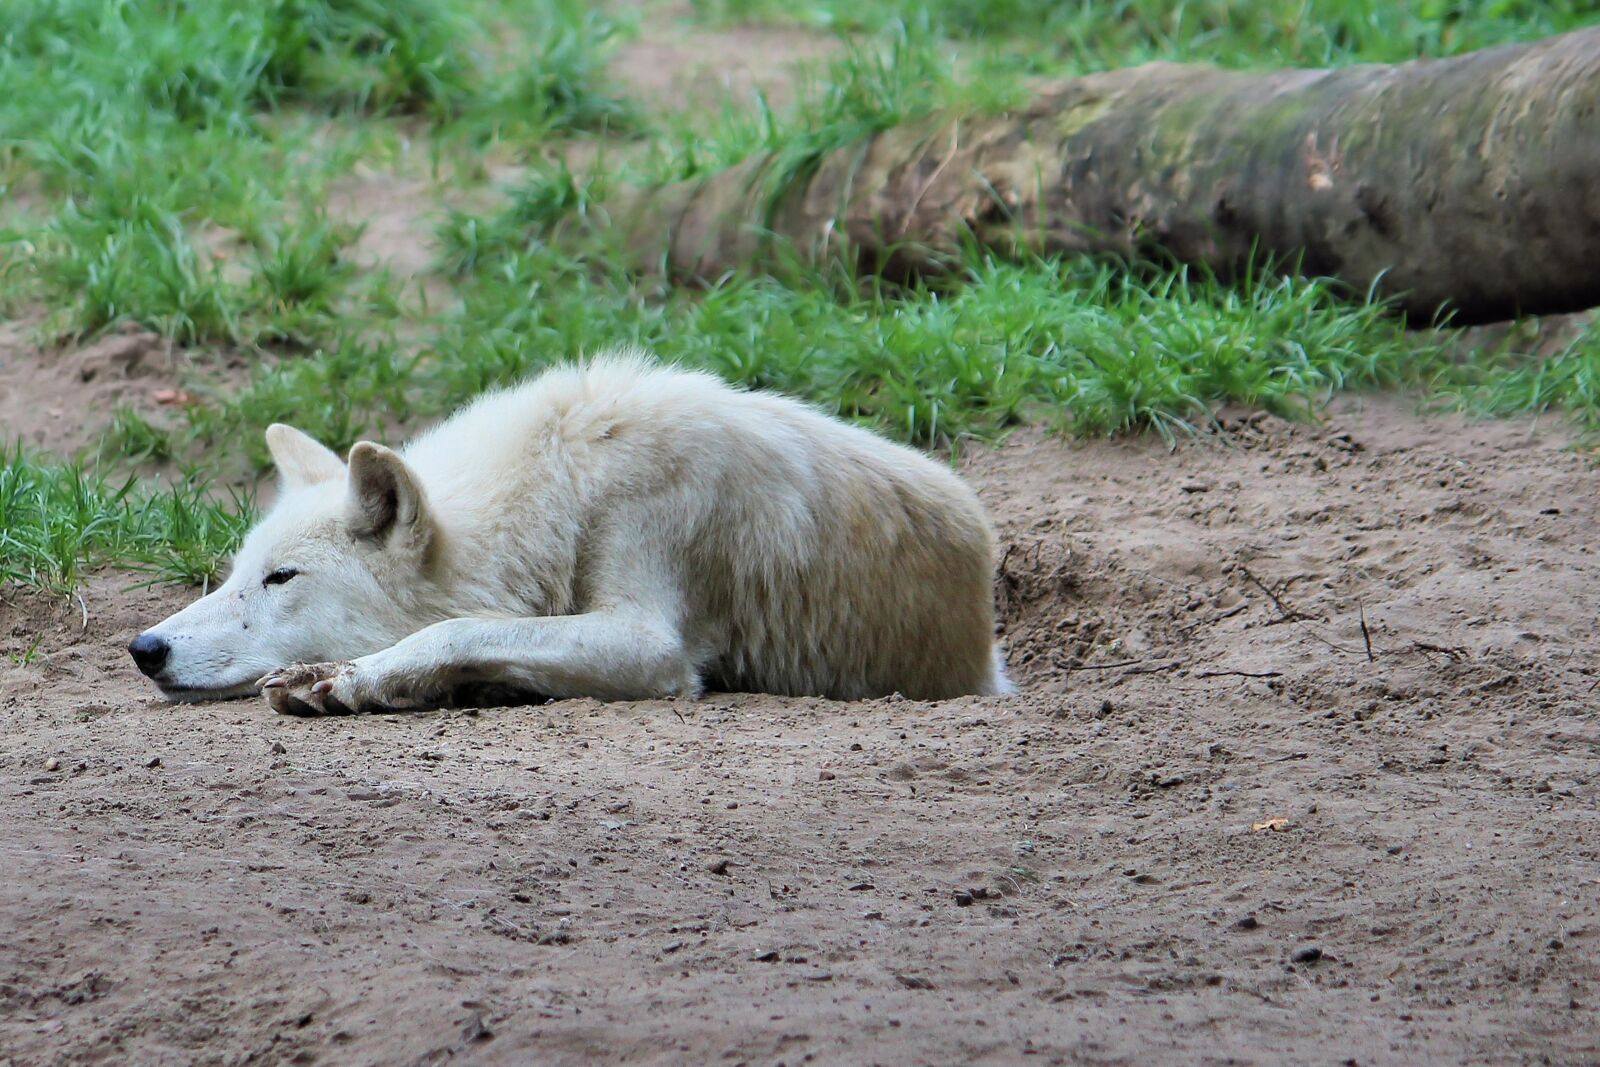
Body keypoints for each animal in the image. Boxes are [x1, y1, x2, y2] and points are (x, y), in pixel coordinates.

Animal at [128, 355, 1010, 714]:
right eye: (234, 572)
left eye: (281, 578)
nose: (144, 646)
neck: (564, 480)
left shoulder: (651, 639)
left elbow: (457, 625)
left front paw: (346, 678)